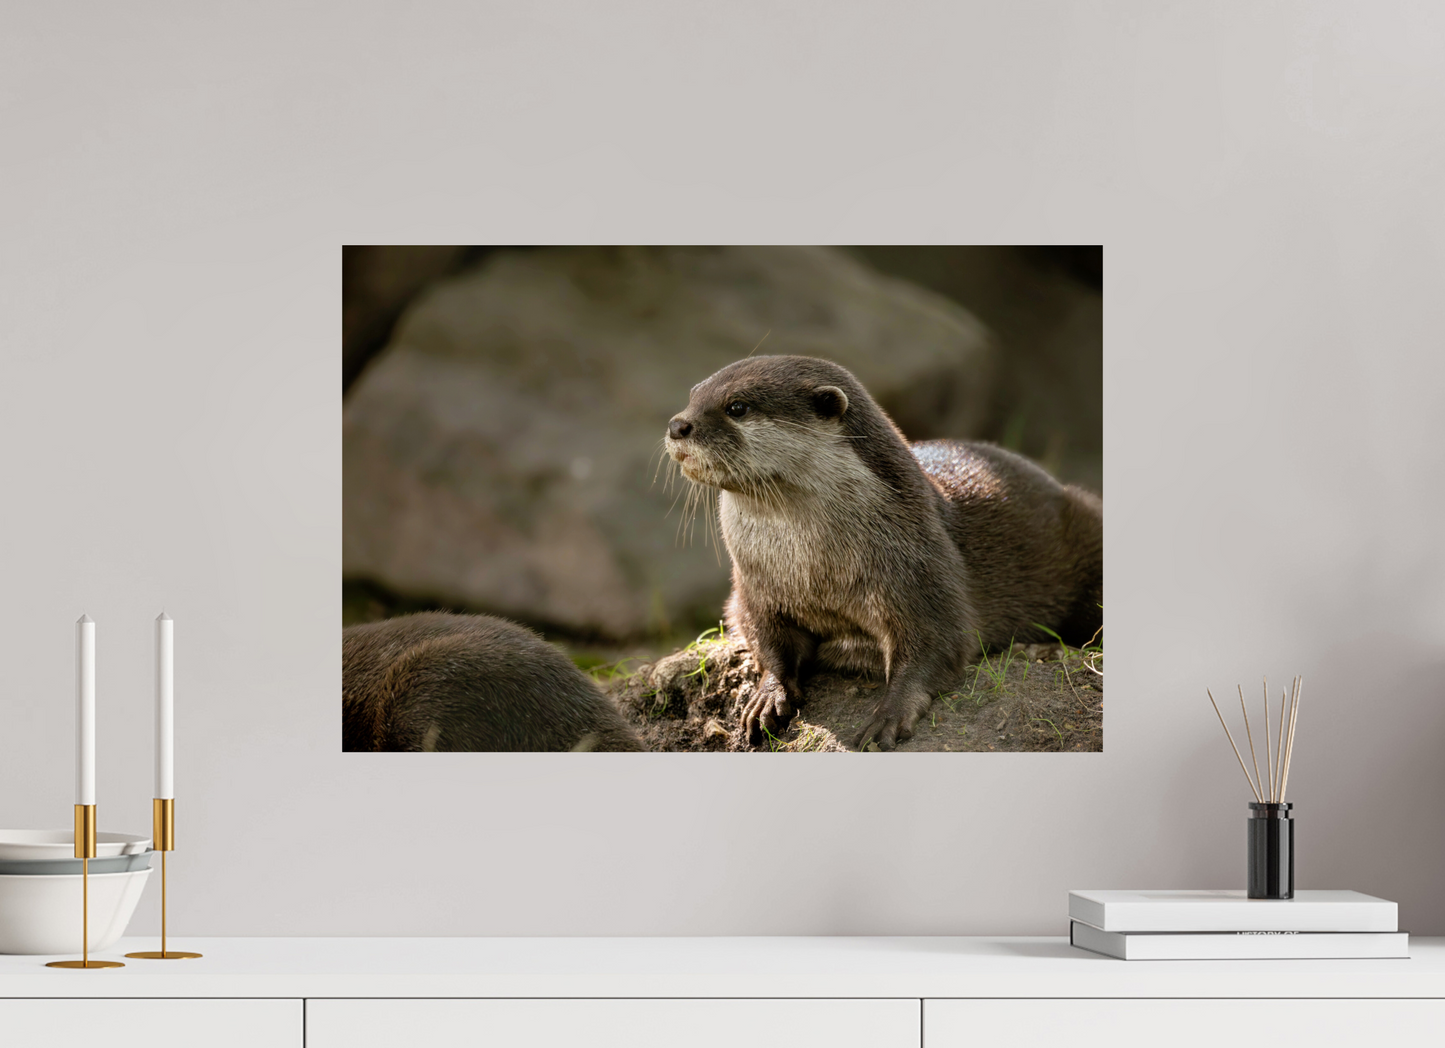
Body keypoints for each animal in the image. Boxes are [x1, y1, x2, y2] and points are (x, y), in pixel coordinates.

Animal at [665, 355, 1102, 751]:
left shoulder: (921, 569)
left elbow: (939, 643)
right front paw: (768, 695)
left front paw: (888, 714)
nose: (677, 424)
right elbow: (766, 641)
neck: (813, 571)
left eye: (737, 406)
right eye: (692, 395)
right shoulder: (752, 588)